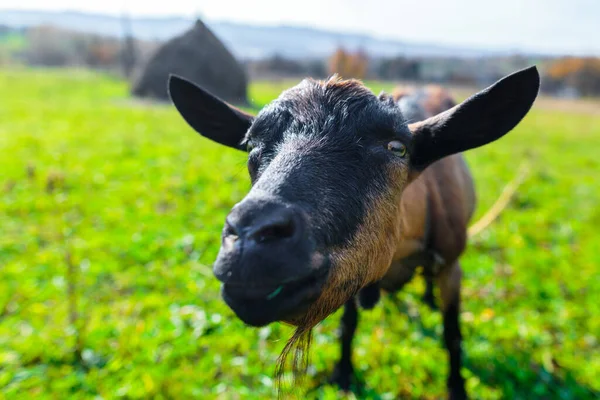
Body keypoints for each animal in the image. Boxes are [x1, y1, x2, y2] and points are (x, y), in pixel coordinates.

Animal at [166, 67, 540, 398]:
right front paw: (344, 375)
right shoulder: (352, 270)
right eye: (252, 147)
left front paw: (457, 388)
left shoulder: (451, 265)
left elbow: (452, 334)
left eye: (397, 147)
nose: (251, 241)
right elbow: (348, 327)